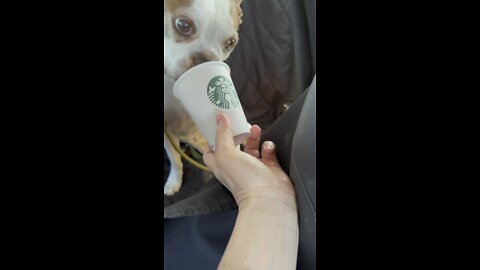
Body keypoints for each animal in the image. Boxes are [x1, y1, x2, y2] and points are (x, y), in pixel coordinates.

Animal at [164, 0, 244, 195]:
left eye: (230, 43)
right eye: (183, 25)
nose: (204, 58)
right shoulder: (165, 129)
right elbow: (174, 157)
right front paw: (174, 181)